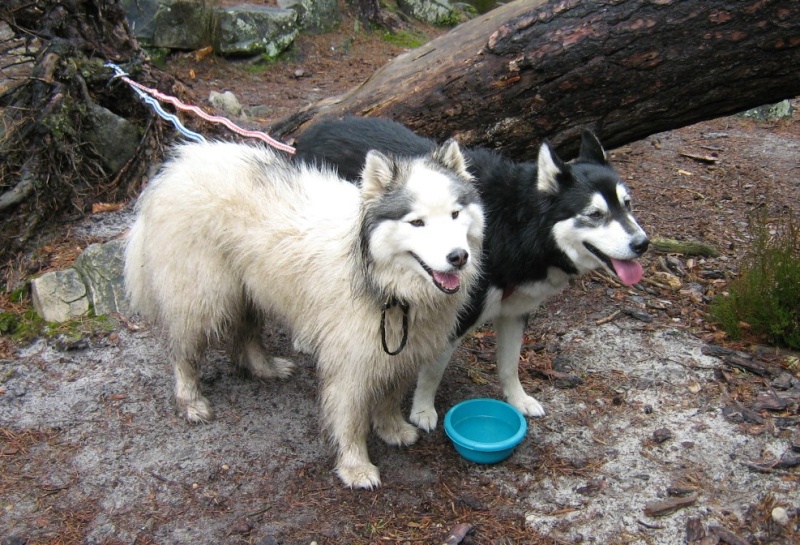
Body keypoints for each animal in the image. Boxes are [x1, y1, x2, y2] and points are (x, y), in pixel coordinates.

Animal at [296, 118, 648, 430]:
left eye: (628, 205)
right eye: (595, 214)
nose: (642, 244)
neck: (515, 226)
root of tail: (314, 127)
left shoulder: (514, 312)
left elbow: (509, 364)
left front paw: (518, 400)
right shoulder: (456, 317)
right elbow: (433, 371)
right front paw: (422, 410)